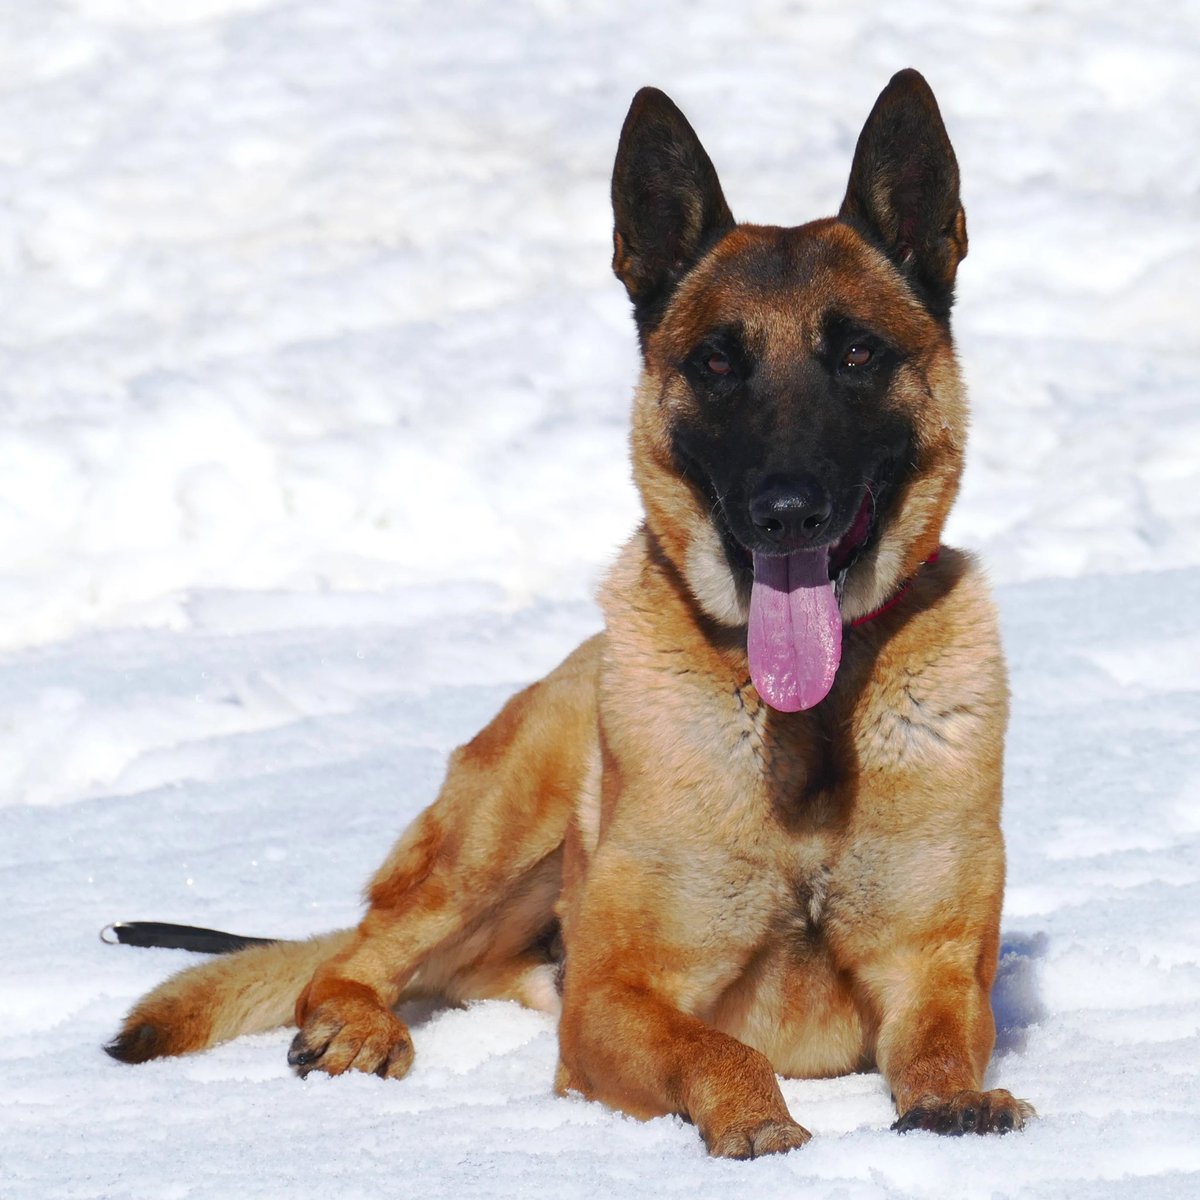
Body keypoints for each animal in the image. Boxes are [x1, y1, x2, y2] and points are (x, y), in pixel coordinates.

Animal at [108, 70, 1036, 1156]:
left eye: (855, 353)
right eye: (715, 364)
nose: (785, 510)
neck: (804, 733)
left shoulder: (935, 968)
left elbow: (939, 1047)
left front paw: (951, 1102)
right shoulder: (613, 998)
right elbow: (721, 1048)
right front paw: (757, 1121)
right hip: (503, 824)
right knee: (362, 953)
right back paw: (357, 1024)